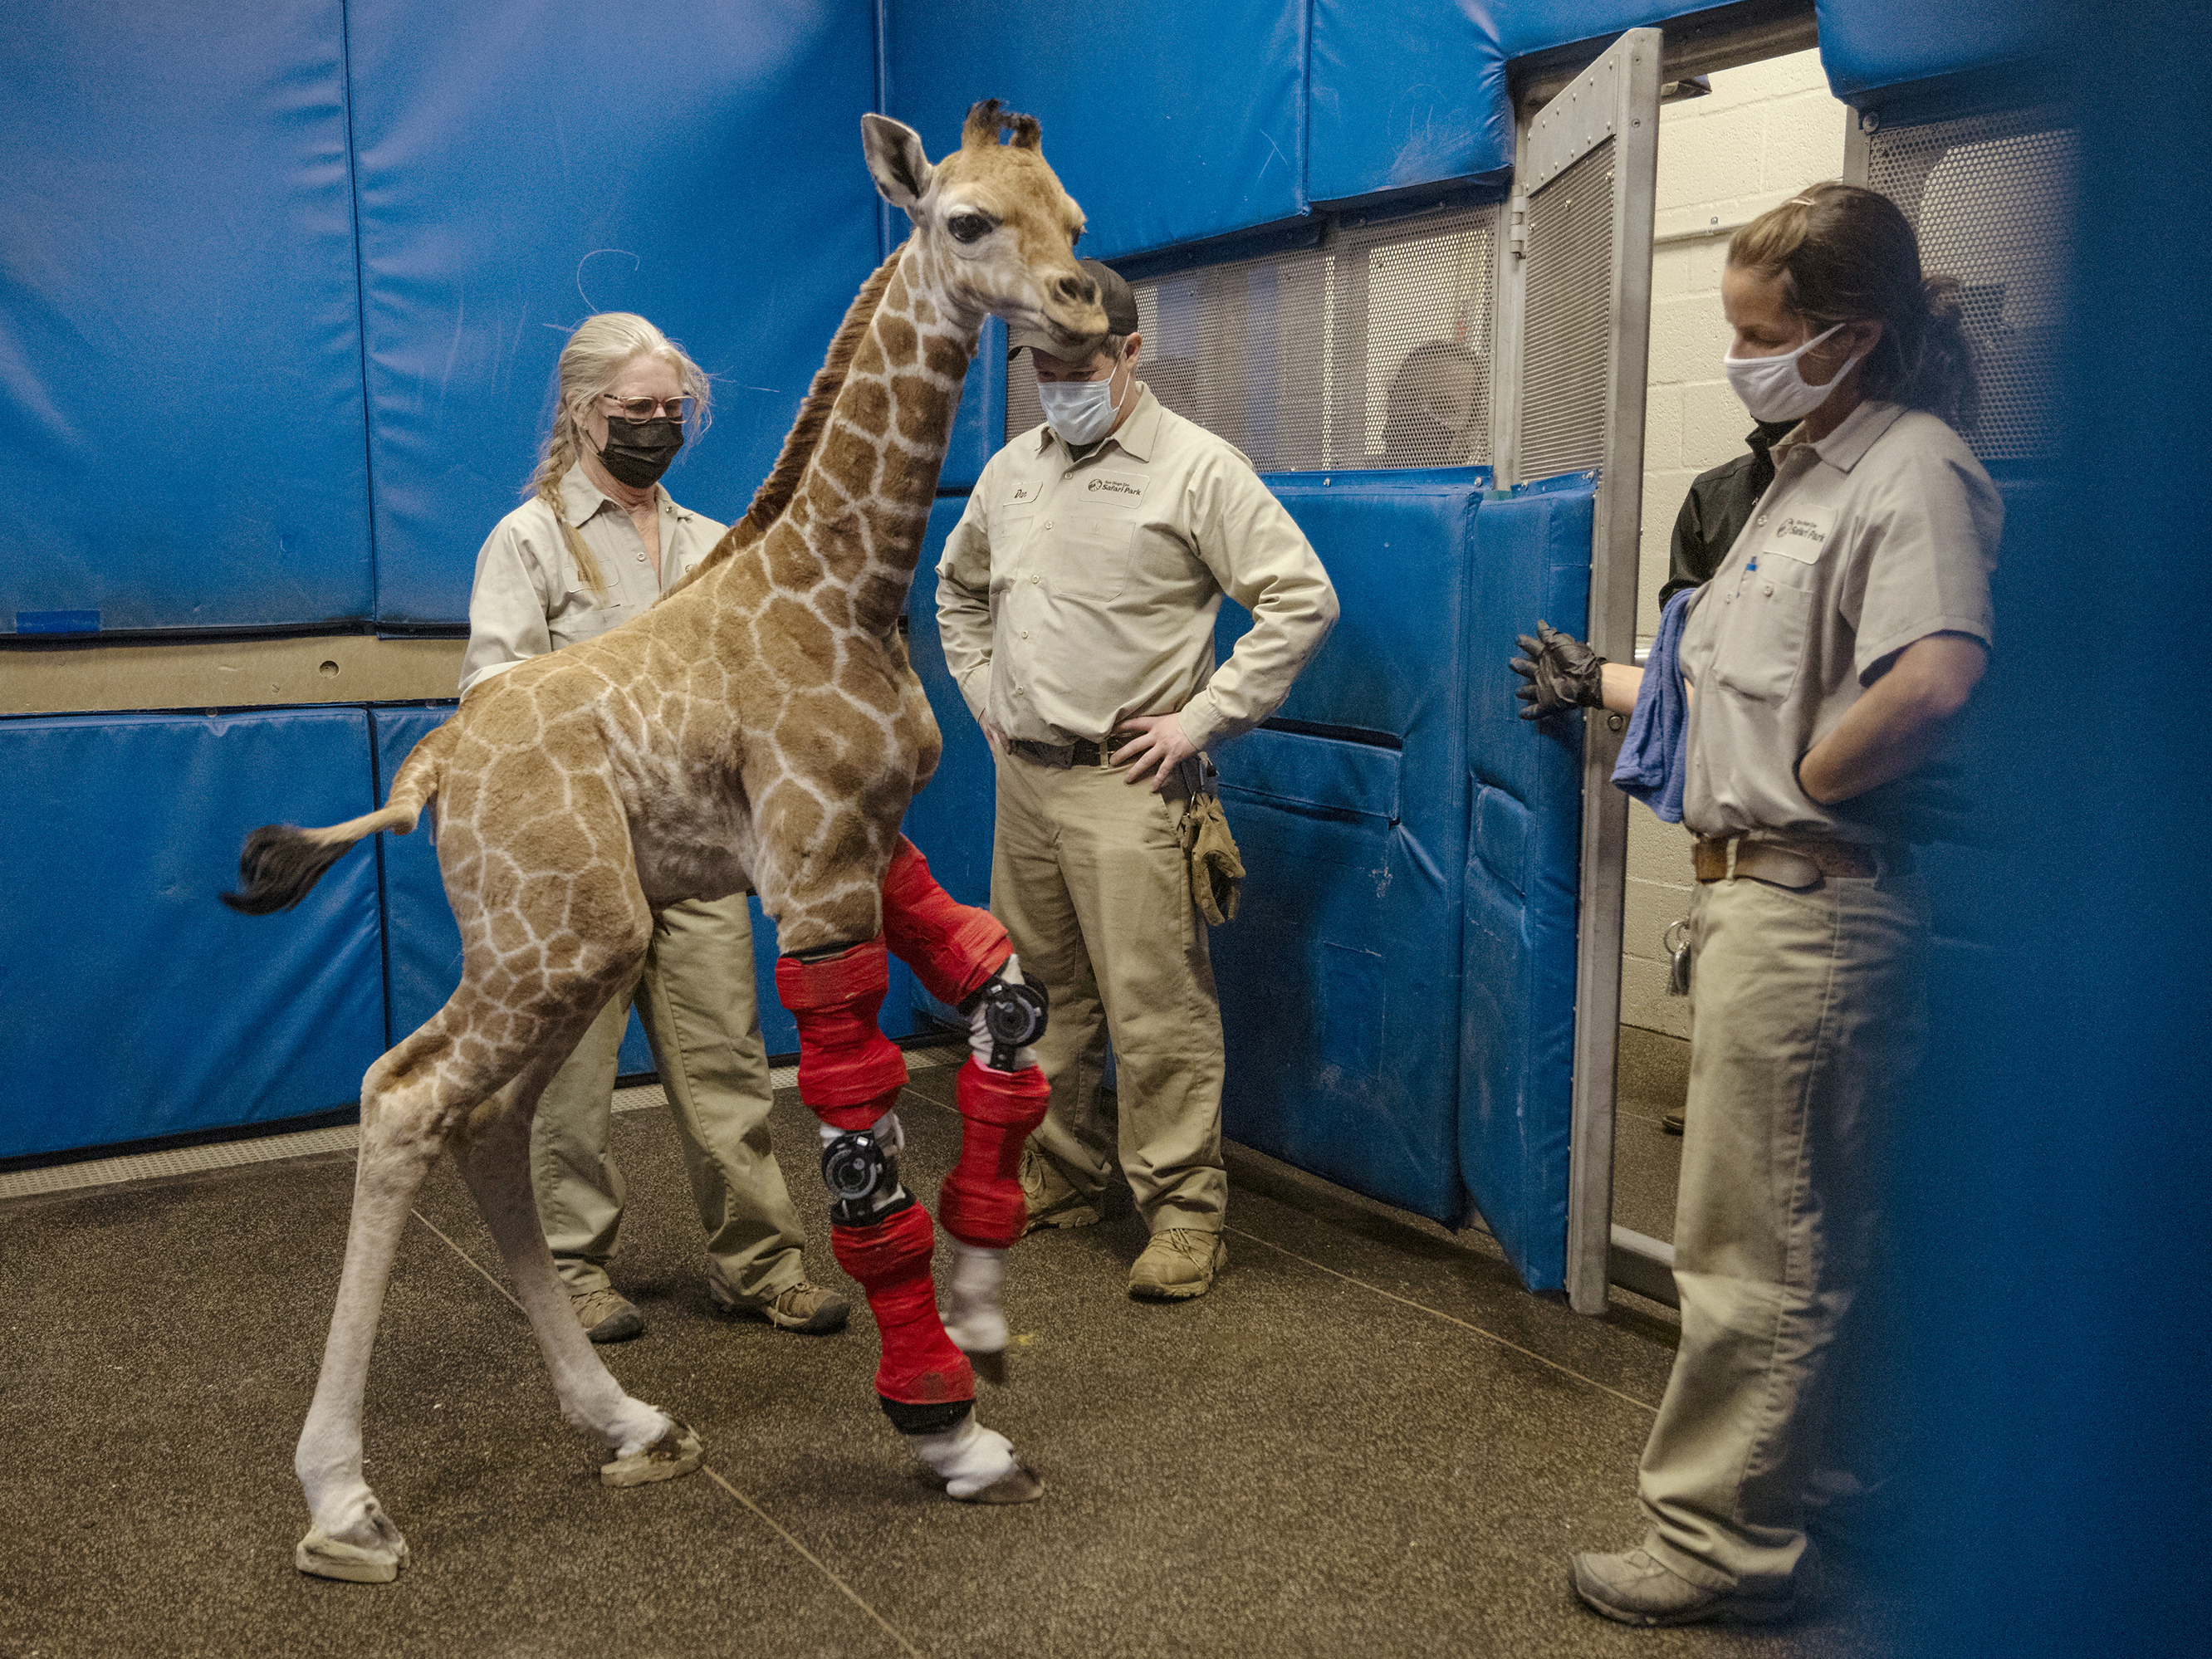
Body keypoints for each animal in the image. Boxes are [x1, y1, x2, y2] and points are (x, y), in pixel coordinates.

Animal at [221, 100, 1105, 1583]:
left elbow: (1009, 1002)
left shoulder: (870, 845)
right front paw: (949, 1427)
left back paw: (628, 1419)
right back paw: (343, 1503)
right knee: (404, 1095)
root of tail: (432, 773)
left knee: (487, 1122)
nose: (1094, 305)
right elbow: (862, 1159)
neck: (843, 587)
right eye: (969, 219)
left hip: (576, 947)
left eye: (1077, 218)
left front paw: (986, 1314)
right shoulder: (814, 874)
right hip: (559, 935)